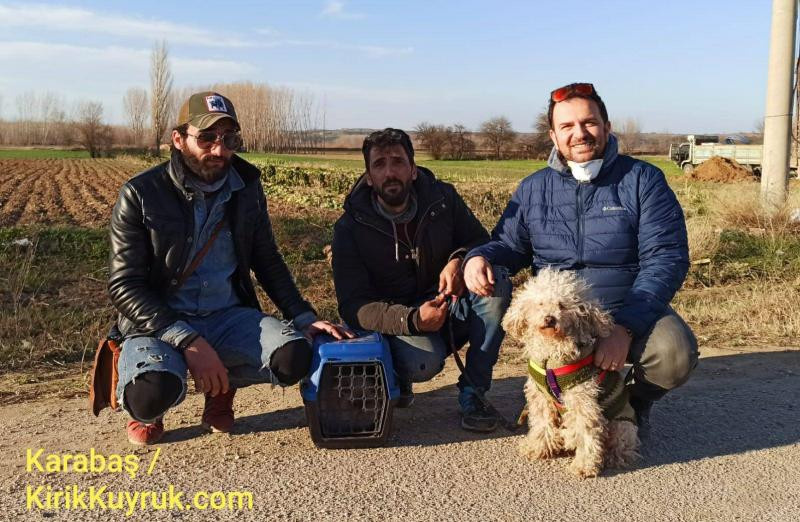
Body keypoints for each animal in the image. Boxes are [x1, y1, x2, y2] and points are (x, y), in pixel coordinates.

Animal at [504, 266, 640, 478]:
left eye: (562, 305)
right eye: (540, 303)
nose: (549, 318)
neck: (550, 358)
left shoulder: (582, 400)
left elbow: (586, 433)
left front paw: (585, 465)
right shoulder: (541, 398)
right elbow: (542, 424)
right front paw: (537, 448)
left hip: (622, 425)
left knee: (621, 446)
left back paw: (612, 457)